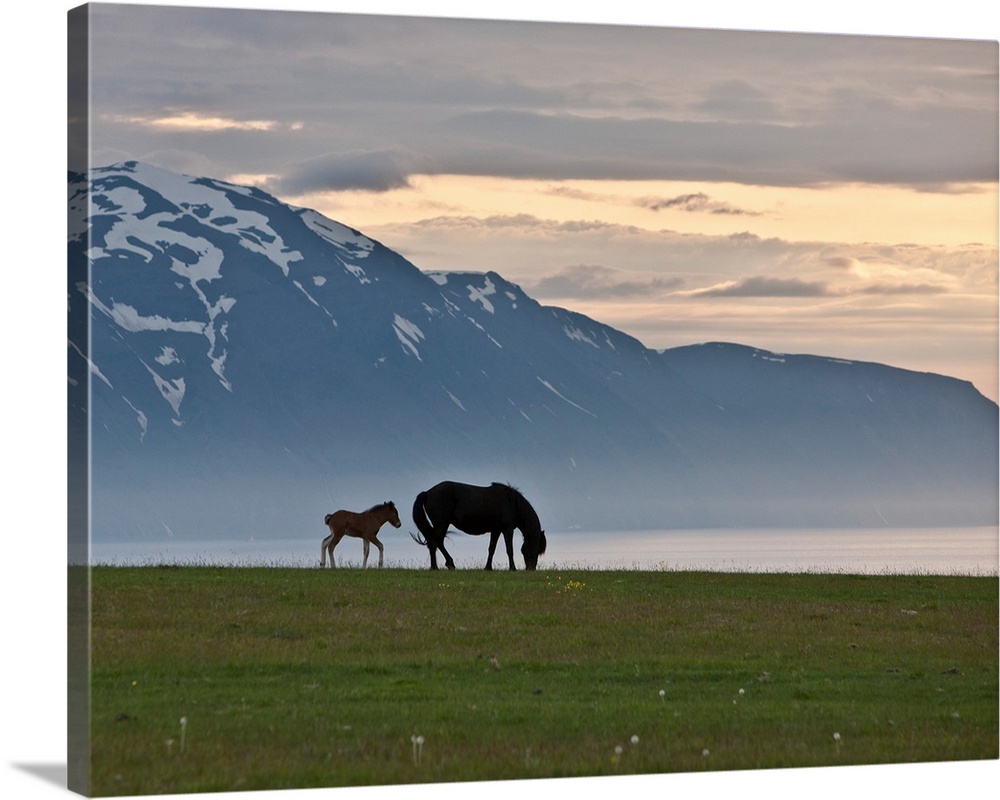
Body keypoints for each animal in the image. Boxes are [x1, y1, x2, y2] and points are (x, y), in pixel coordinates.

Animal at [410, 482, 548, 568]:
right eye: (536, 549)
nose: (531, 569)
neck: (512, 504)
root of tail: (428, 492)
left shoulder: (496, 530)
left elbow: (491, 549)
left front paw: (488, 568)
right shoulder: (507, 530)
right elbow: (510, 550)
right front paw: (512, 568)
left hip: (441, 525)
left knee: (436, 542)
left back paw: (447, 564)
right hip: (442, 524)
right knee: (435, 542)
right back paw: (438, 566)